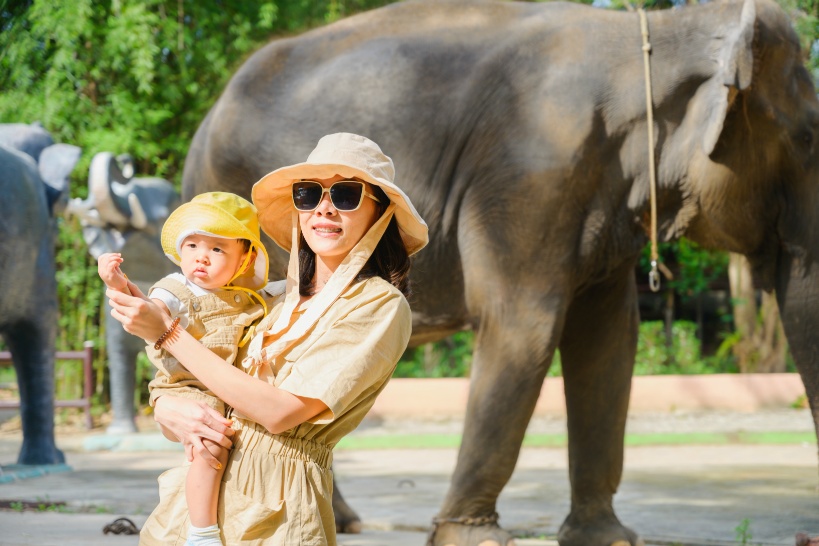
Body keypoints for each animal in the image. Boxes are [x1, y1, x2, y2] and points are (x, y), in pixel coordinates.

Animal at [176, 1, 816, 544]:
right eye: (807, 138)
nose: (805, 533)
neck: (655, 33)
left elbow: (609, 341)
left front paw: (607, 538)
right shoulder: (531, 174)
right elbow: (524, 327)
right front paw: (472, 537)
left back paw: (345, 519)